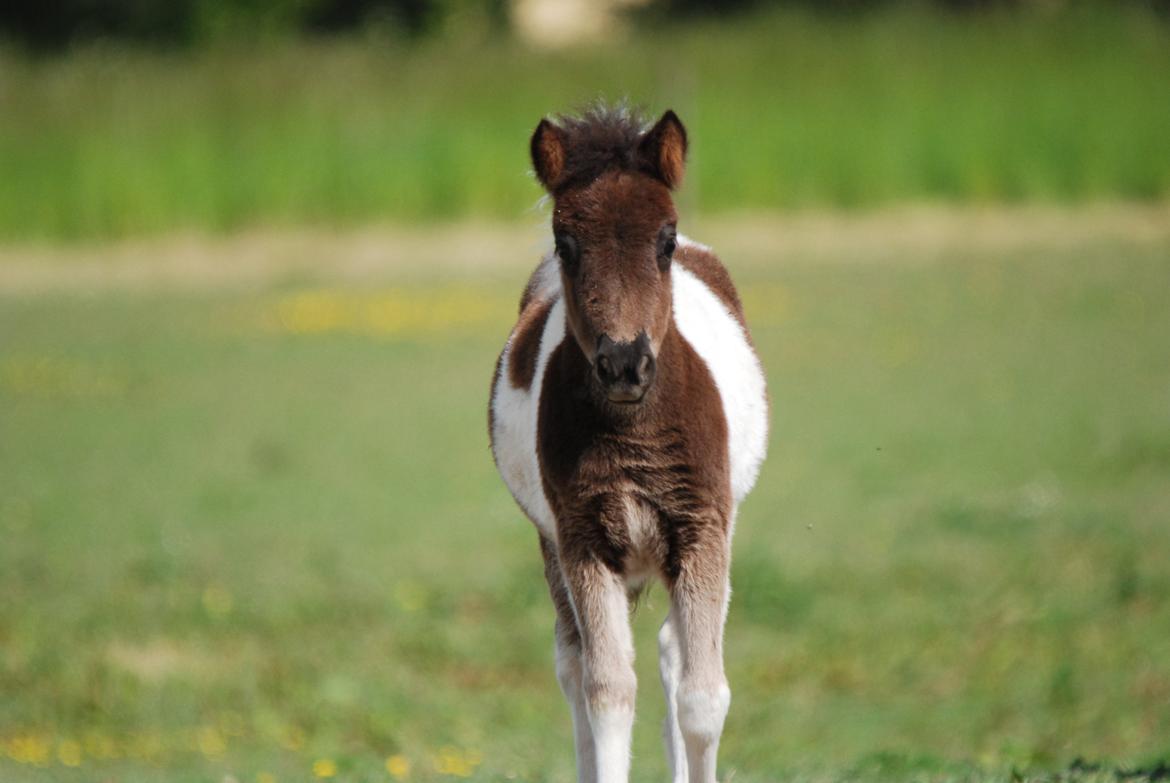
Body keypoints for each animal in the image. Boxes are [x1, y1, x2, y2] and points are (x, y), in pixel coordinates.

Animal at [486, 108, 767, 781]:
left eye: (665, 240)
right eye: (565, 243)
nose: (624, 364)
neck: (633, 431)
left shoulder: (702, 526)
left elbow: (703, 698)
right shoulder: (583, 539)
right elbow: (607, 691)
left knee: (672, 652)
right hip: (553, 544)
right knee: (573, 664)